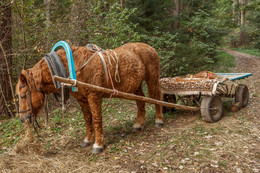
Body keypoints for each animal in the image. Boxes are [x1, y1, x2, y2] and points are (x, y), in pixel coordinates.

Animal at [15, 42, 162, 153]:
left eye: (23, 95)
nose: (22, 118)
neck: (73, 66)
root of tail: (150, 47)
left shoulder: (94, 96)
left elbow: (96, 119)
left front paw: (98, 144)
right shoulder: (82, 99)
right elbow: (87, 119)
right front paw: (88, 139)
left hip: (152, 78)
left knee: (156, 96)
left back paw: (159, 120)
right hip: (135, 85)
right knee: (141, 101)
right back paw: (139, 124)